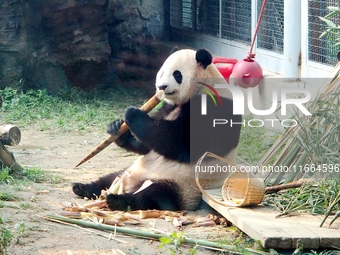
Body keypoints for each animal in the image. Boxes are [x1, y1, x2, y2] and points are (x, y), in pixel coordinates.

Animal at [72, 47, 242, 211]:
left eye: (177, 74)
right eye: (161, 73)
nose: (161, 87)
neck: (204, 86)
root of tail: (131, 184)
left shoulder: (214, 108)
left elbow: (178, 143)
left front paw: (133, 113)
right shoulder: (168, 106)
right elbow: (147, 146)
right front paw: (116, 127)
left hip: (183, 185)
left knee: (155, 195)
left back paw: (118, 200)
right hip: (131, 170)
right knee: (109, 178)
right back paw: (82, 187)